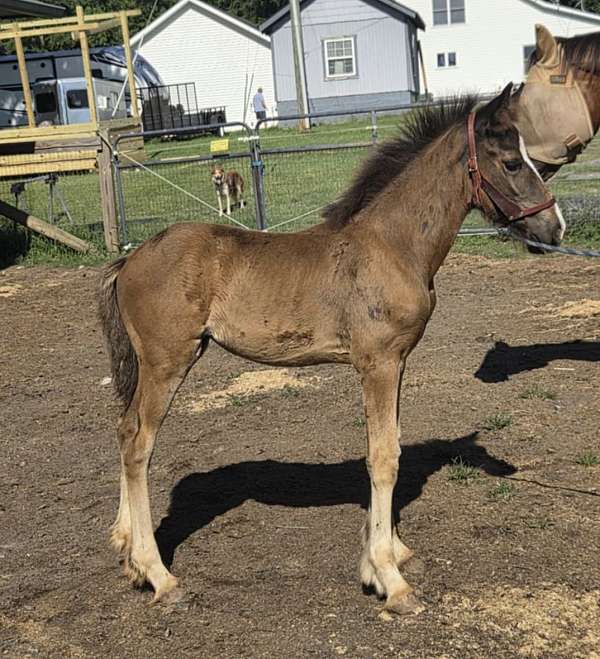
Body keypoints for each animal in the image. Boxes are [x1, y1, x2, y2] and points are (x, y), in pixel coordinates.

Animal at [98, 84, 564, 615]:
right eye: (511, 162)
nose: (555, 229)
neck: (392, 246)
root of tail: (131, 259)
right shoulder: (377, 364)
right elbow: (383, 457)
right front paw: (389, 579)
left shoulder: (397, 362)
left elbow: (391, 444)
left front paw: (394, 552)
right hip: (167, 361)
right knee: (138, 444)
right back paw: (158, 574)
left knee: (123, 428)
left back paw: (126, 550)